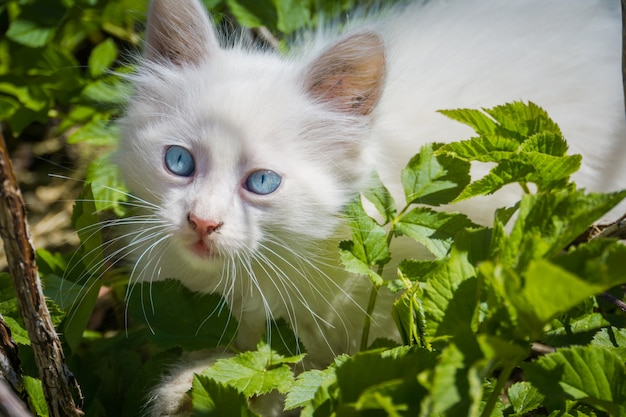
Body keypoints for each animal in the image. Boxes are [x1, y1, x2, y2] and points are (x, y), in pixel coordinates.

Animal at [114, 0, 620, 412]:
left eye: (262, 182)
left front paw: (195, 385)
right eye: (179, 162)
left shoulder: (366, 339)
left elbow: (296, 379)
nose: (202, 221)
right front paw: (187, 384)